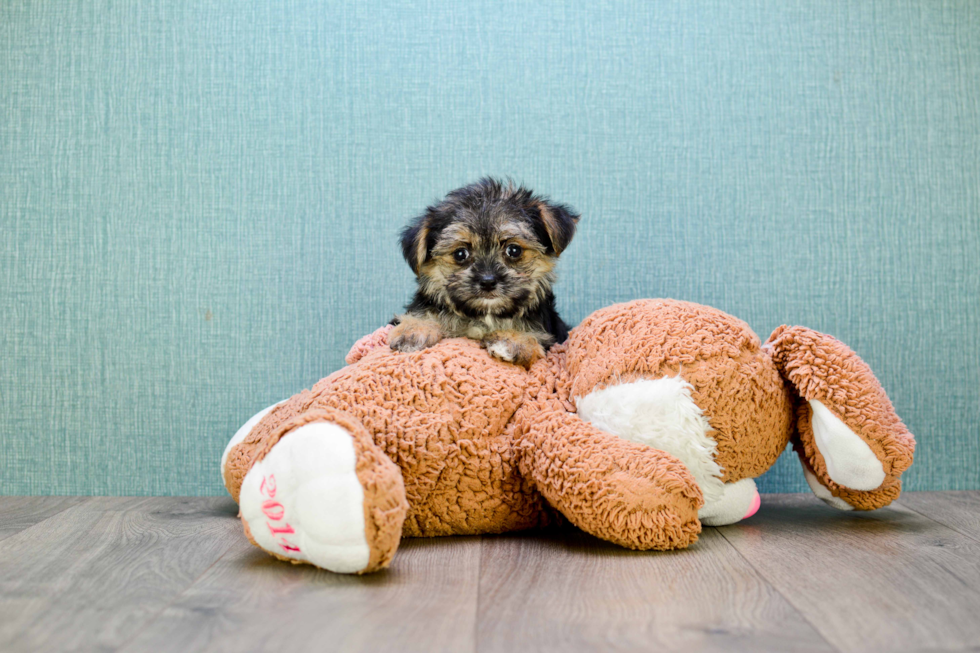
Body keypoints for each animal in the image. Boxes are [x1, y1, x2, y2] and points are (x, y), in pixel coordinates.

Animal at [388, 178, 580, 366]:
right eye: (460, 254)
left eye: (514, 250)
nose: (488, 281)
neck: (485, 316)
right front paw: (414, 329)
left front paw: (513, 339)